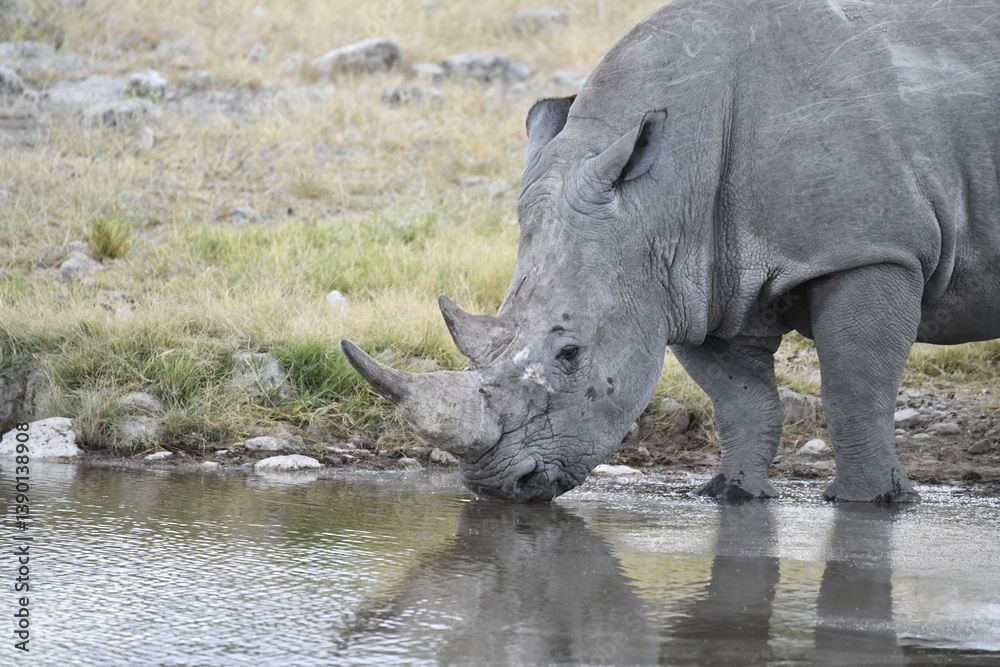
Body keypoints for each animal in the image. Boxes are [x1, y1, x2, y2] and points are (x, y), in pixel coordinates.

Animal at [342, 0, 1000, 502]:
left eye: (571, 354)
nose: (499, 486)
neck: (659, 194)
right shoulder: (695, 277)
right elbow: (740, 400)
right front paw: (731, 495)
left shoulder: (871, 248)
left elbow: (855, 390)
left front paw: (869, 503)